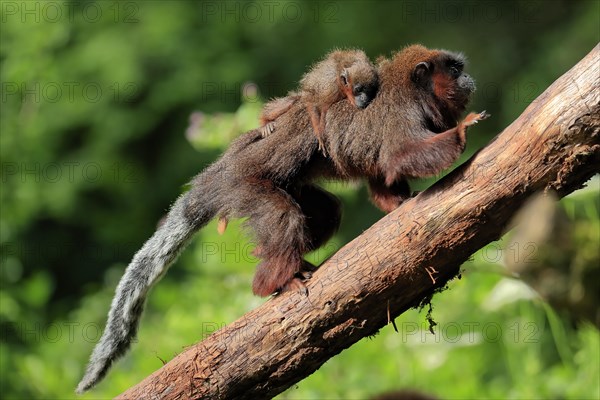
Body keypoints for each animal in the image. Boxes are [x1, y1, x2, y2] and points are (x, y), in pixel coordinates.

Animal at [76, 44, 488, 394]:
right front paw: (463, 129)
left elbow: (381, 171)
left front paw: (398, 201)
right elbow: (401, 153)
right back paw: (274, 282)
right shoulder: (402, 115)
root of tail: (217, 173)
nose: (469, 77)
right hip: (243, 187)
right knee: (283, 215)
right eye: (454, 70)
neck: (413, 91)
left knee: (325, 211)